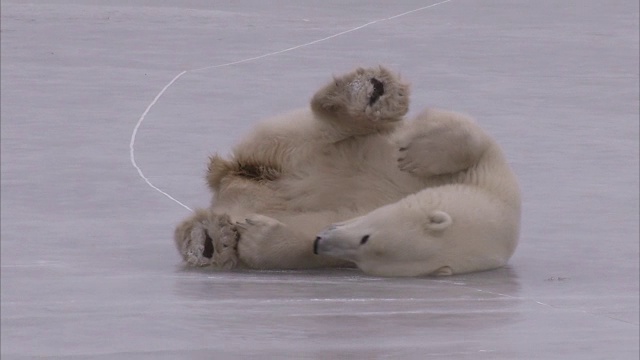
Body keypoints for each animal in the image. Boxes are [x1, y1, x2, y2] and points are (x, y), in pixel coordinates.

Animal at [174, 66, 520, 278]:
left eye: (367, 248)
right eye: (368, 237)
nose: (324, 239)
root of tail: (230, 179)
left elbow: (306, 240)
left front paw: (259, 238)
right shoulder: (491, 169)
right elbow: (465, 132)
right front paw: (417, 155)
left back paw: (212, 239)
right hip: (294, 140)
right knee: (334, 128)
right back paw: (369, 94)